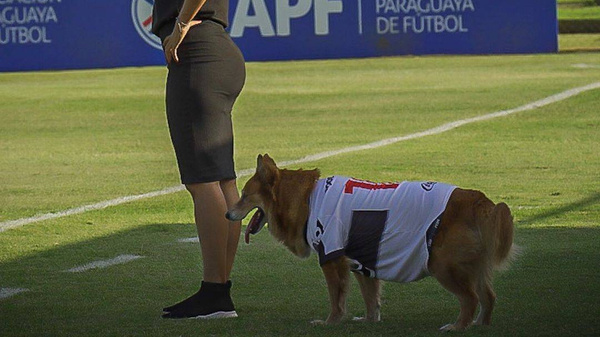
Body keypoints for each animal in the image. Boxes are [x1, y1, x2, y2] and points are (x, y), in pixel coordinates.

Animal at [226, 155, 516, 330]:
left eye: (244, 195)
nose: (227, 214)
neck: (307, 199)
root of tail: (477, 199)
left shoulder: (332, 259)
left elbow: (336, 298)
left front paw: (330, 322)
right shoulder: (362, 263)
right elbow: (370, 297)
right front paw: (368, 320)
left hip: (443, 265)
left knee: (470, 298)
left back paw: (459, 326)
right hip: (472, 266)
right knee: (488, 296)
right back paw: (480, 325)